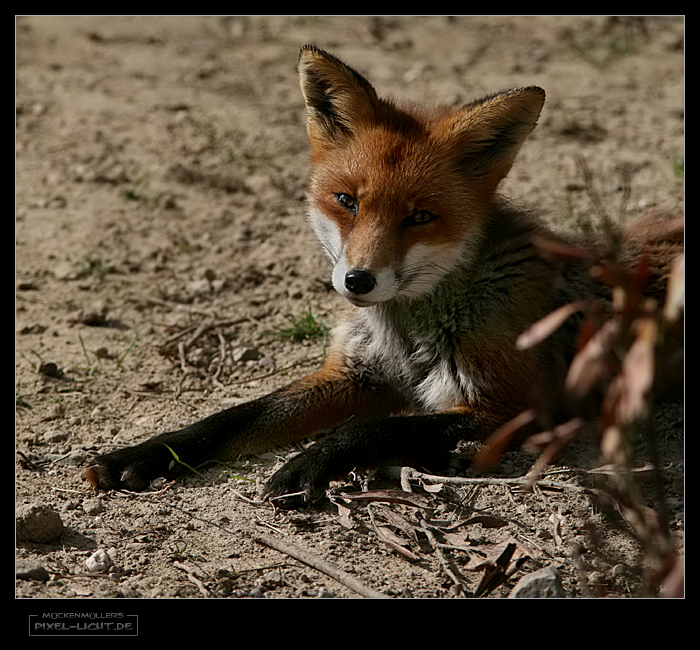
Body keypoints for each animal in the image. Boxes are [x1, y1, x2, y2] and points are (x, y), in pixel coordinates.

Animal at [86, 45, 684, 502]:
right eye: (346, 201)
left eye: (419, 218)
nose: (358, 282)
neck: (407, 333)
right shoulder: (355, 375)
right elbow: (233, 418)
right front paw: (148, 454)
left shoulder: (514, 406)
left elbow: (373, 428)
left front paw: (309, 463)